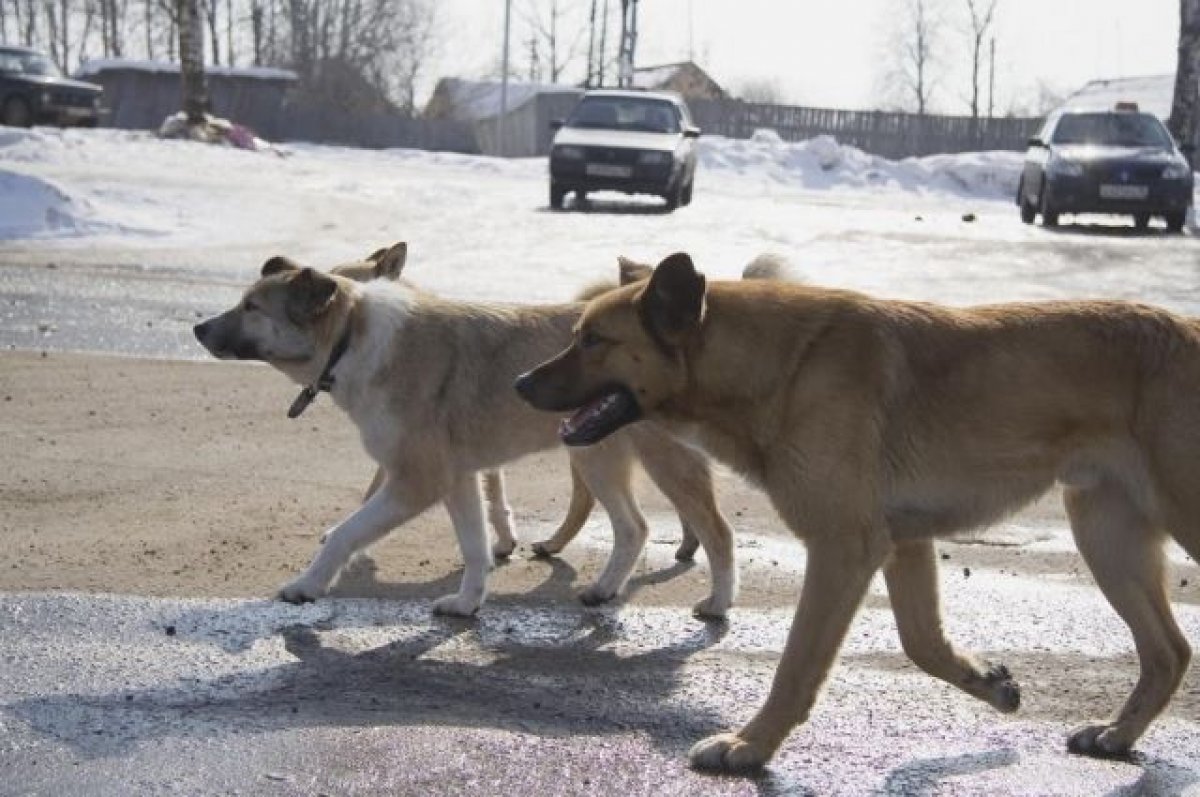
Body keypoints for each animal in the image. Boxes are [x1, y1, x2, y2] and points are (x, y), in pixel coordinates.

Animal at [192, 249, 734, 614]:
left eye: (253, 308)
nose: (198, 329)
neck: (352, 339)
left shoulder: (417, 481)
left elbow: (345, 534)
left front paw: (307, 585)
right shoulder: (459, 479)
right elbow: (475, 546)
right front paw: (467, 602)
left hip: (661, 462)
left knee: (717, 532)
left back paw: (718, 604)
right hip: (594, 456)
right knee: (633, 527)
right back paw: (604, 589)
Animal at [518, 252, 1200, 768]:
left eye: (594, 341)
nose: (520, 383)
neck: (782, 366)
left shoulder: (843, 549)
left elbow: (797, 664)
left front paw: (750, 746)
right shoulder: (903, 544)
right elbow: (923, 643)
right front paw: (988, 681)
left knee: (1170, 649)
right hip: (1105, 538)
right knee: (1169, 651)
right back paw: (1118, 735)